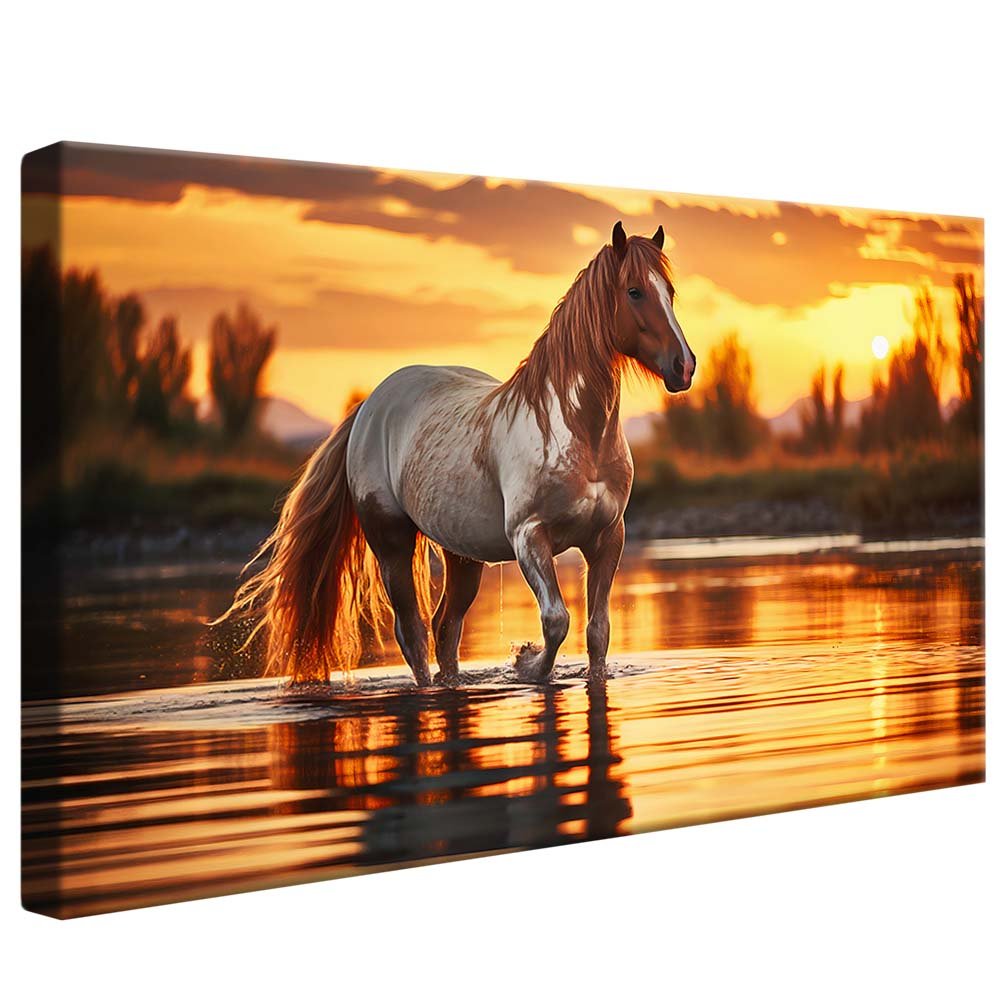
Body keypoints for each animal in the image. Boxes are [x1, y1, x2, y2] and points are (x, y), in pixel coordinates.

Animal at [217, 221, 696, 687]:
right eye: (634, 291)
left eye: (670, 292)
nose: (684, 366)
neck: (575, 434)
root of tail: (369, 407)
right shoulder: (529, 538)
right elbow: (556, 621)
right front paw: (525, 663)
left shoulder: (607, 538)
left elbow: (598, 633)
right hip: (391, 545)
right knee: (413, 634)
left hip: (463, 556)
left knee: (446, 629)